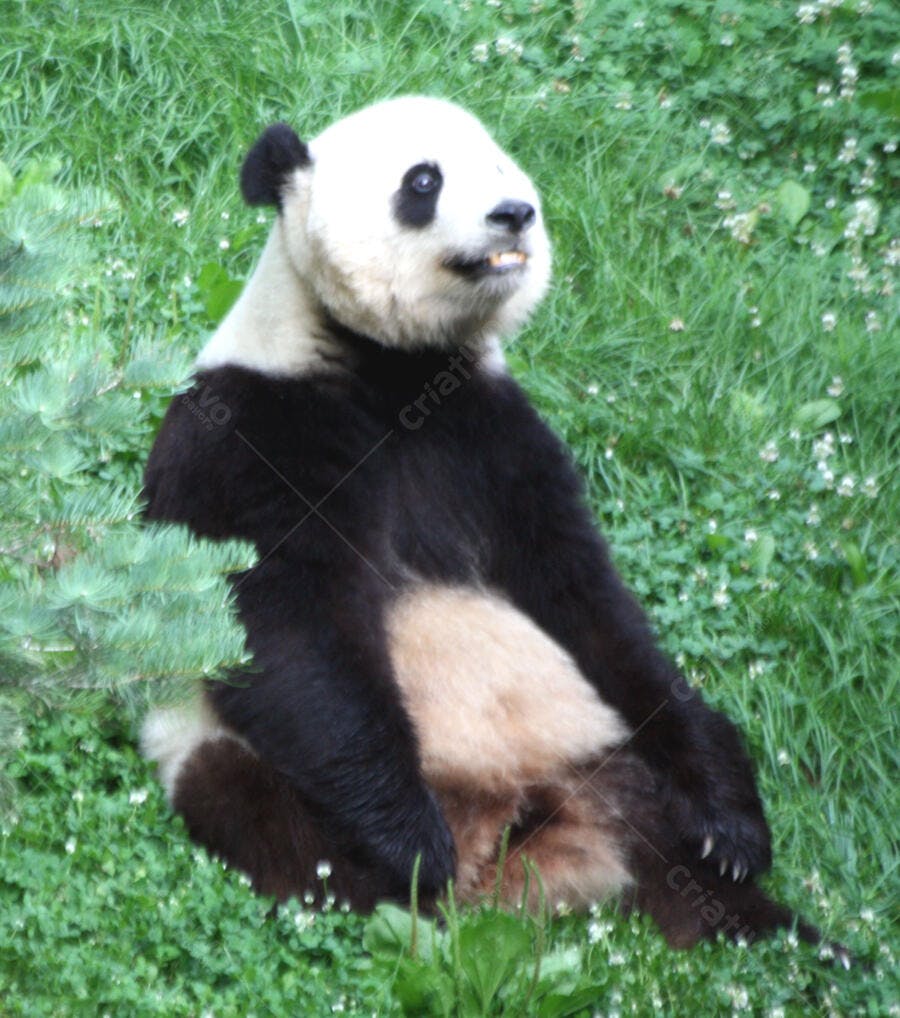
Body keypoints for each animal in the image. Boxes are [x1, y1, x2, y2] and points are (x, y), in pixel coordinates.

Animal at [141, 95, 818, 948]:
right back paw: (419, 886)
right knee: (277, 818)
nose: (515, 213)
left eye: (500, 166)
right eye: (424, 180)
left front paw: (730, 820)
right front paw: (410, 841)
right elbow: (283, 628)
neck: (392, 371)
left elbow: (589, 602)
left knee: (677, 861)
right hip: (223, 756)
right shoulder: (250, 433)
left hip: (602, 755)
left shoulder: (494, 436)